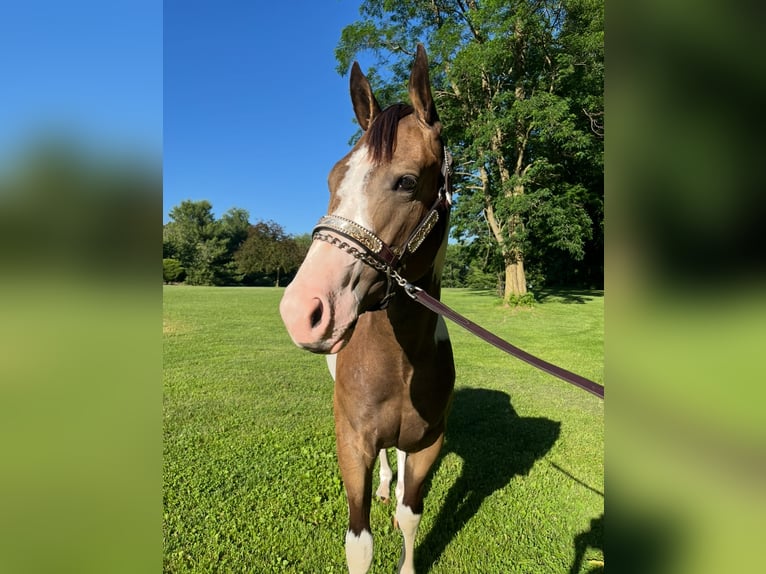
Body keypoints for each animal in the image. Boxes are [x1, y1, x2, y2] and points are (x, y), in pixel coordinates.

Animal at [279, 45, 455, 574]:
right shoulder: (352, 443)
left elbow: (411, 515)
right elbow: (359, 541)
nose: (302, 309)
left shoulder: (429, 444)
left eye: (407, 181)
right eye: (334, 178)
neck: (400, 360)